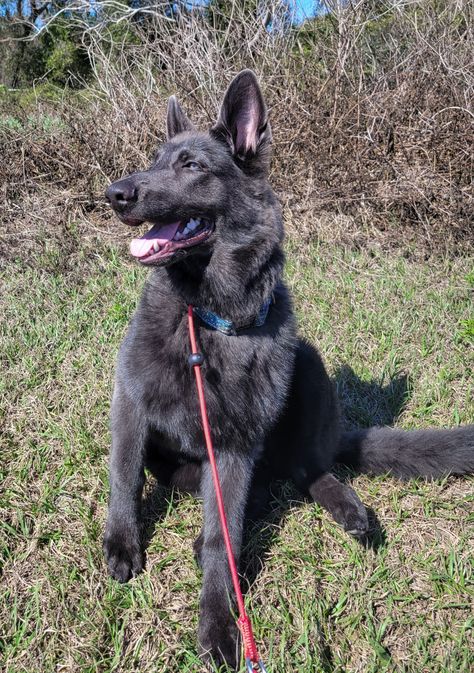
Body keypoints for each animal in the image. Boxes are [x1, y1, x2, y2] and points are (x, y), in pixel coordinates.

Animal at [104, 68, 474, 668]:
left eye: (191, 165)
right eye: (154, 159)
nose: (115, 194)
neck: (207, 319)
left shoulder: (233, 449)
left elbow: (220, 539)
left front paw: (218, 624)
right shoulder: (132, 405)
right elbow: (124, 475)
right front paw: (121, 544)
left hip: (308, 364)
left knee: (306, 470)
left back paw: (345, 507)